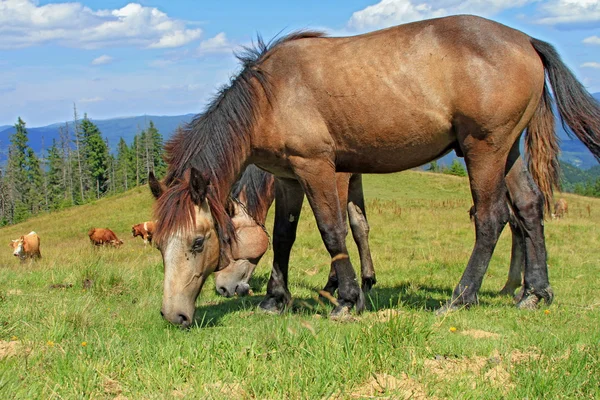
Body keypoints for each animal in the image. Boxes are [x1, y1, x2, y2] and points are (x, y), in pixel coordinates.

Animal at [212, 164, 376, 298]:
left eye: (227, 240)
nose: (221, 289)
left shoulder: (337, 178)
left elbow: (338, 227)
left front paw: (331, 286)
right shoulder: (354, 176)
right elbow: (359, 226)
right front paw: (367, 280)